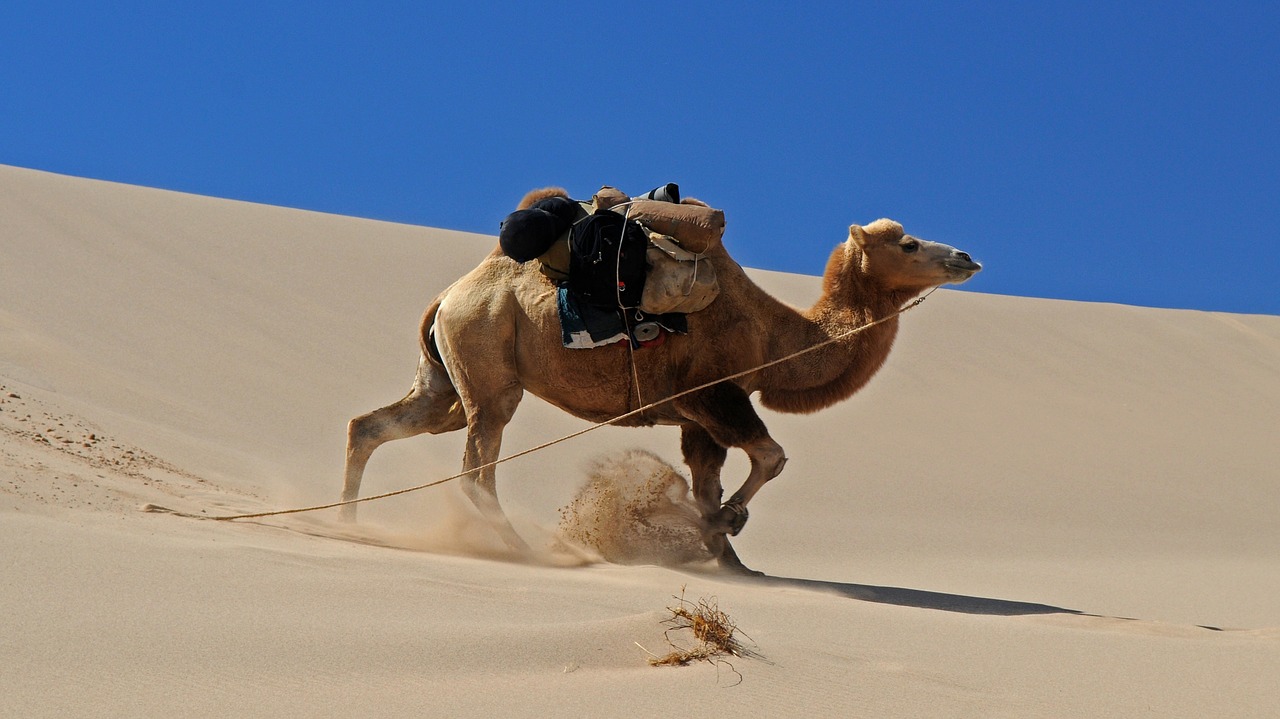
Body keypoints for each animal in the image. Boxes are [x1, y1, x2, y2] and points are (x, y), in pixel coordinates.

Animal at [340, 189, 977, 570]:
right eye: (908, 243)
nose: (967, 257)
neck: (776, 337)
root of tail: (449, 297)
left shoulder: (699, 417)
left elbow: (709, 478)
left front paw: (733, 560)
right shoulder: (714, 394)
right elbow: (769, 458)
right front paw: (723, 523)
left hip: (445, 380)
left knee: (374, 426)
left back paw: (346, 525)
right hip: (488, 360)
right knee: (477, 466)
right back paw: (527, 549)